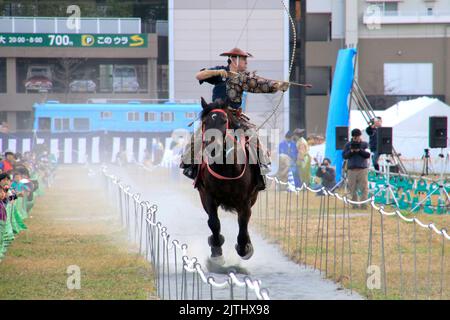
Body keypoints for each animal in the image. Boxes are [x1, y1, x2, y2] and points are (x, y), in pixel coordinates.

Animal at [195, 98, 262, 262]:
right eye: (205, 121)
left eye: (224, 121)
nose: (212, 147)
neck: (225, 166)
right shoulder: (208, 196)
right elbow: (214, 223)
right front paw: (216, 249)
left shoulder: (245, 200)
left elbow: (243, 223)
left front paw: (244, 248)